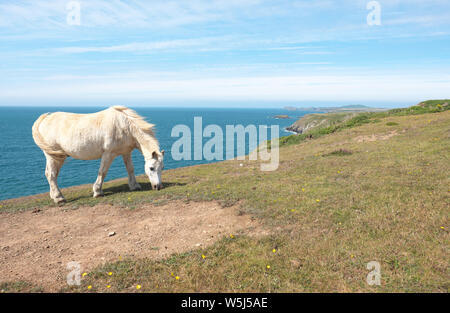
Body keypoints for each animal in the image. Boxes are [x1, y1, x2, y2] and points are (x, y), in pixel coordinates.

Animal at [32, 105, 165, 202]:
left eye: (162, 168)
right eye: (151, 168)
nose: (158, 187)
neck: (124, 126)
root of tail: (45, 119)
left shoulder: (126, 152)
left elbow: (130, 169)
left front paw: (134, 186)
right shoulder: (108, 154)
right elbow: (103, 172)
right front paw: (97, 192)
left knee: (49, 174)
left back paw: (53, 195)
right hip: (53, 156)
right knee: (51, 174)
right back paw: (59, 198)